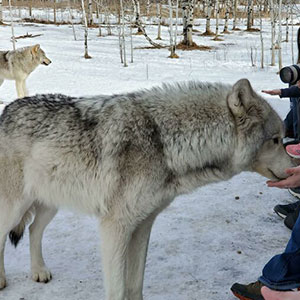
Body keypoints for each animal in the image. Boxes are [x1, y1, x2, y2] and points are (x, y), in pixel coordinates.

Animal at [0, 78, 296, 298]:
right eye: (275, 139)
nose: (295, 165)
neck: (165, 143)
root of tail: (6, 110)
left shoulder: (143, 225)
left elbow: (135, 285)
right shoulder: (115, 229)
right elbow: (118, 290)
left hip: (51, 203)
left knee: (34, 230)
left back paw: (39, 271)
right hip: (15, 207)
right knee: (5, 235)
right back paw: (3, 280)